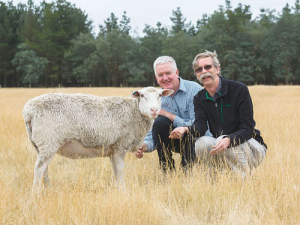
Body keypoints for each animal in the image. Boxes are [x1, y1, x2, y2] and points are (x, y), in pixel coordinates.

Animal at [22, 87, 173, 192]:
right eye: (142, 95)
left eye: (160, 95)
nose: (154, 110)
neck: (134, 112)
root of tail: (29, 111)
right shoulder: (120, 145)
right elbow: (120, 169)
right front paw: (123, 191)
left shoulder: (112, 149)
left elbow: (115, 170)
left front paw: (117, 189)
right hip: (49, 141)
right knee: (39, 169)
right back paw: (35, 194)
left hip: (40, 144)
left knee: (44, 169)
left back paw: (48, 189)